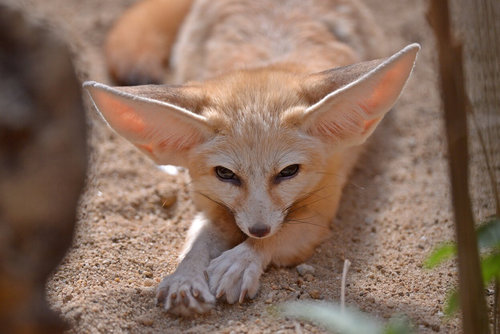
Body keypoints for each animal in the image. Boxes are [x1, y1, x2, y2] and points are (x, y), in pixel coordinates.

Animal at [85, 0, 418, 316]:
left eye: (289, 171)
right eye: (225, 174)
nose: (258, 229)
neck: (267, 61)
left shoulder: (319, 214)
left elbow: (276, 238)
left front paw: (241, 261)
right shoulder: (216, 206)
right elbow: (196, 242)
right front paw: (185, 278)